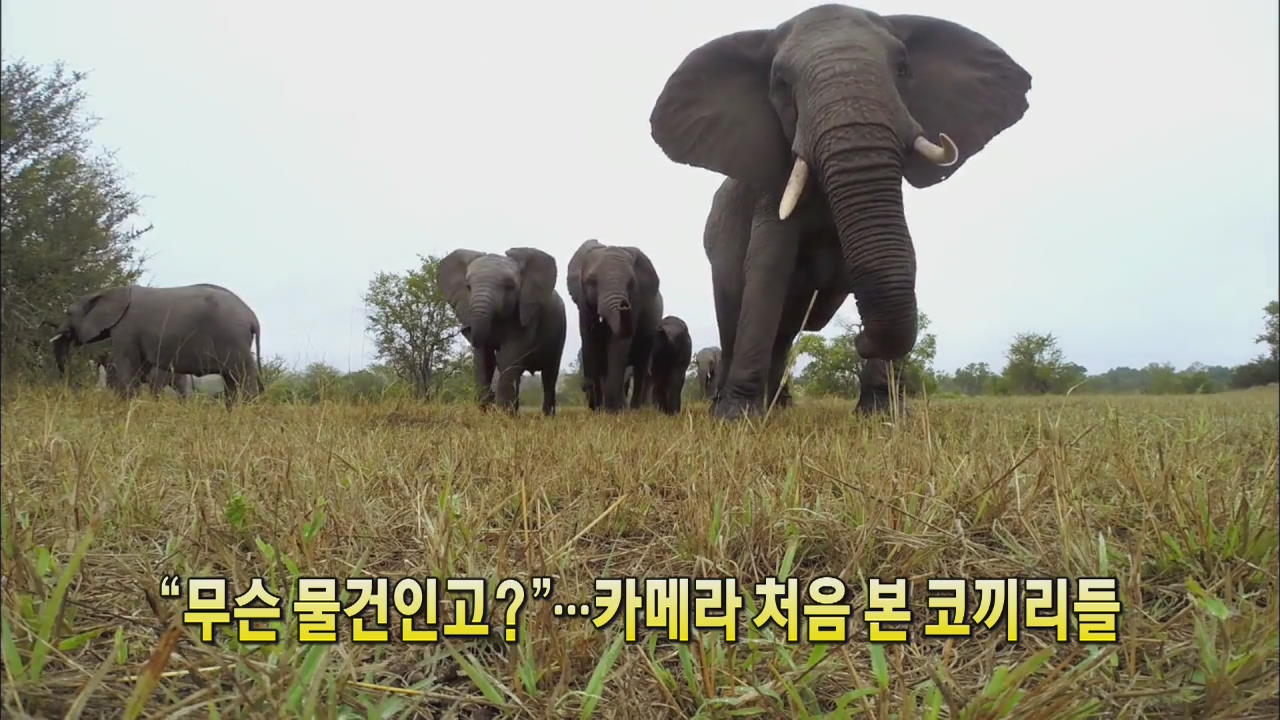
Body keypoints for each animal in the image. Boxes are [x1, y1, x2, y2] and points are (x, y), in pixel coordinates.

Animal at [51, 280, 266, 404]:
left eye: (68, 313)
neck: (108, 292)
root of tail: (253, 318)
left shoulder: (127, 329)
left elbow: (128, 366)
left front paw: (124, 408)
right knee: (232, 380)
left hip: (233, 339)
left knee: (241, 377)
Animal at [437, 245, 563, 415]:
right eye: (468, 287)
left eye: (510, 286)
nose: (491, 395)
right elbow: (484, 359)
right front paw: (486, 412)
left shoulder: (526, 315)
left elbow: (508, 356)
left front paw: (502, 414)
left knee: (549, 375)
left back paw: (546, 416)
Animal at [573, 238, 670, 412]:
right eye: (591, 282)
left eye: (631, 283)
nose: (624, 304)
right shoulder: (583, 302)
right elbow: (589, 340)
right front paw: (599, 410)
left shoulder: (637, 300)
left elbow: (618, 343)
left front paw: (614, 411)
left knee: (641, 366)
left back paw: (635, 409)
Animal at [650, 5, 1029, 417]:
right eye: (781, 83)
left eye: (903, 69)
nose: (860, 338)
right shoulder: (769, 186)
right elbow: (766, 268)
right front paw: (737, 419)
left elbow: (905, 257)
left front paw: (884, 416)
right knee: (736, 314)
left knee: (784, 331)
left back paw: (778, 407)